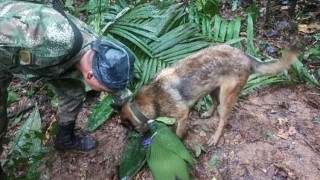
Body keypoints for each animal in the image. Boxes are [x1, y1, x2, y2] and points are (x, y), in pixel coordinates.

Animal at [119, 44, 298, 146]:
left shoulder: (182, 115)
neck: (143, 104)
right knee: (215, 103)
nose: (141, 135)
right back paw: (208, 113)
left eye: (130, 129)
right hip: (212, 88)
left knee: (223, 119)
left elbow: (178, 133)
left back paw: (215, 138)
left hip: (226, 96)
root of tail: (245, 56)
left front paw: (177, 141)